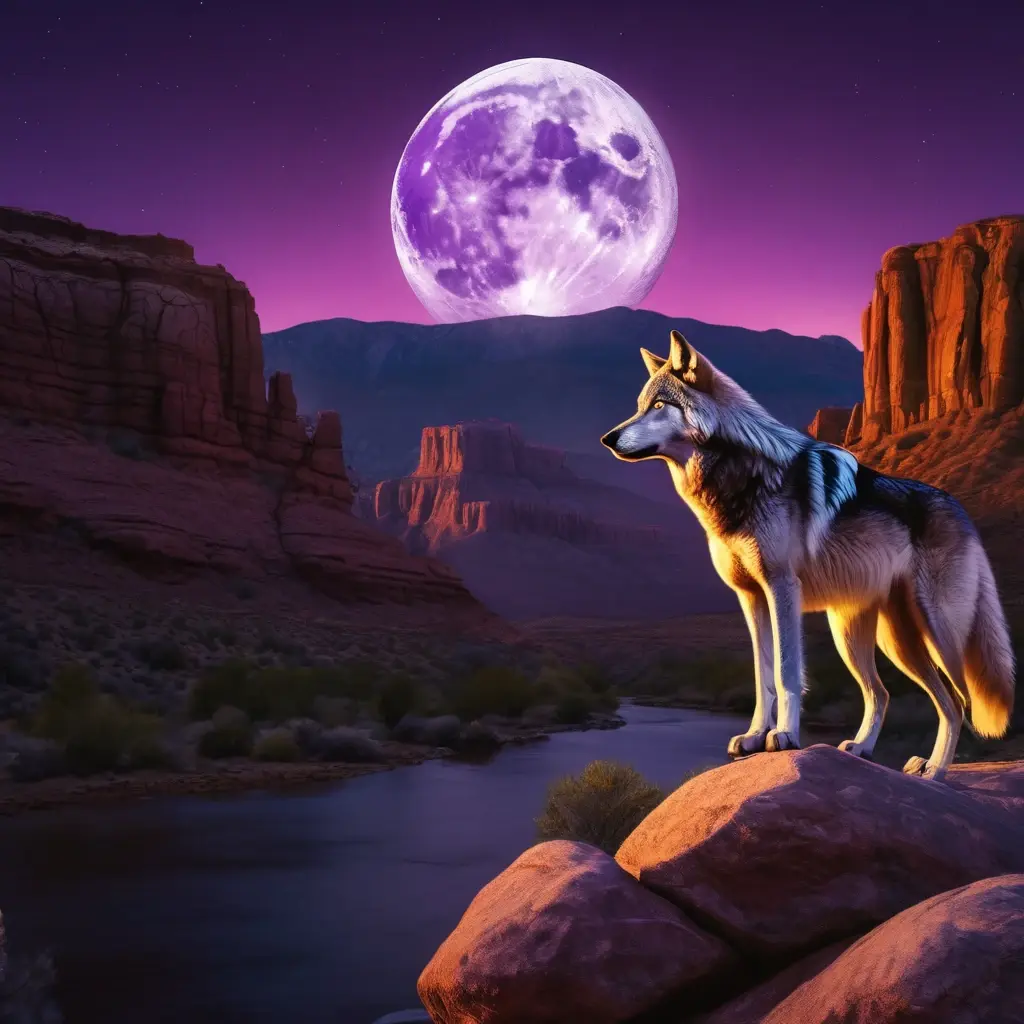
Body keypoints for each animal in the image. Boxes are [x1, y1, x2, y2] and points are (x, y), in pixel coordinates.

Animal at [601, 329, 1015, 780]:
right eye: (639, 406)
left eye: (659, 406)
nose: (608, 438)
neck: (737, 482)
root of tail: (960, 510)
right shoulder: (750, 597)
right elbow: (762, 675)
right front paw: (753, 737)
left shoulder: (781, 587)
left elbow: (786, 672)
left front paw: (783, 736)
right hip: (871, 639)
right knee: (885, 693)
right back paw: (867, 749)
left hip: (935, 632)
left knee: (958, 701)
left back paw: (936, 770)